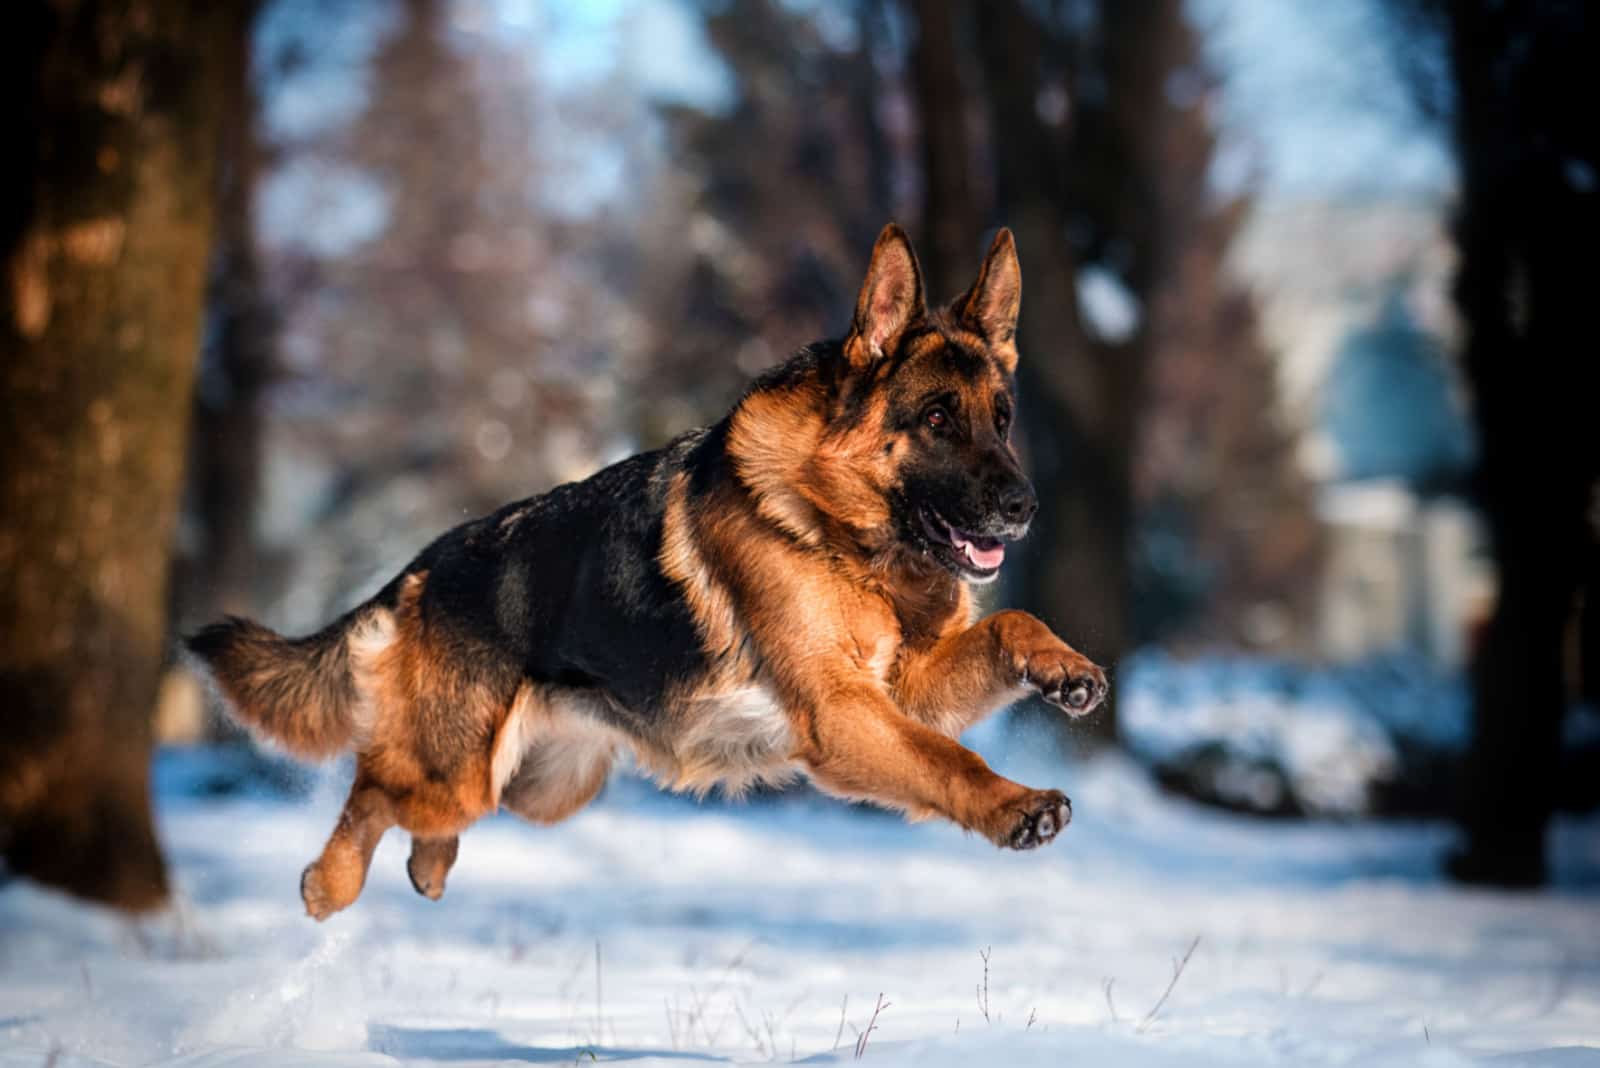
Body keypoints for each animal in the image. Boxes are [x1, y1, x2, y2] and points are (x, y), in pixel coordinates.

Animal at [187, 225, 1107, 920]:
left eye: (1002, 419)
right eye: (938, 420)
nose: (1024, 506)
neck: (841, 532)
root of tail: (420, 566)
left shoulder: (901, 691)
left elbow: (1010, 625)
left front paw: (1065, 669)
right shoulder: (844, 713)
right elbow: (950, 762)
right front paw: (1016, 805)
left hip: (540, 787)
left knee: (420, 811)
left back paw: (429, 869)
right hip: (453, 775)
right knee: (374, 786)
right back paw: (327, 883)